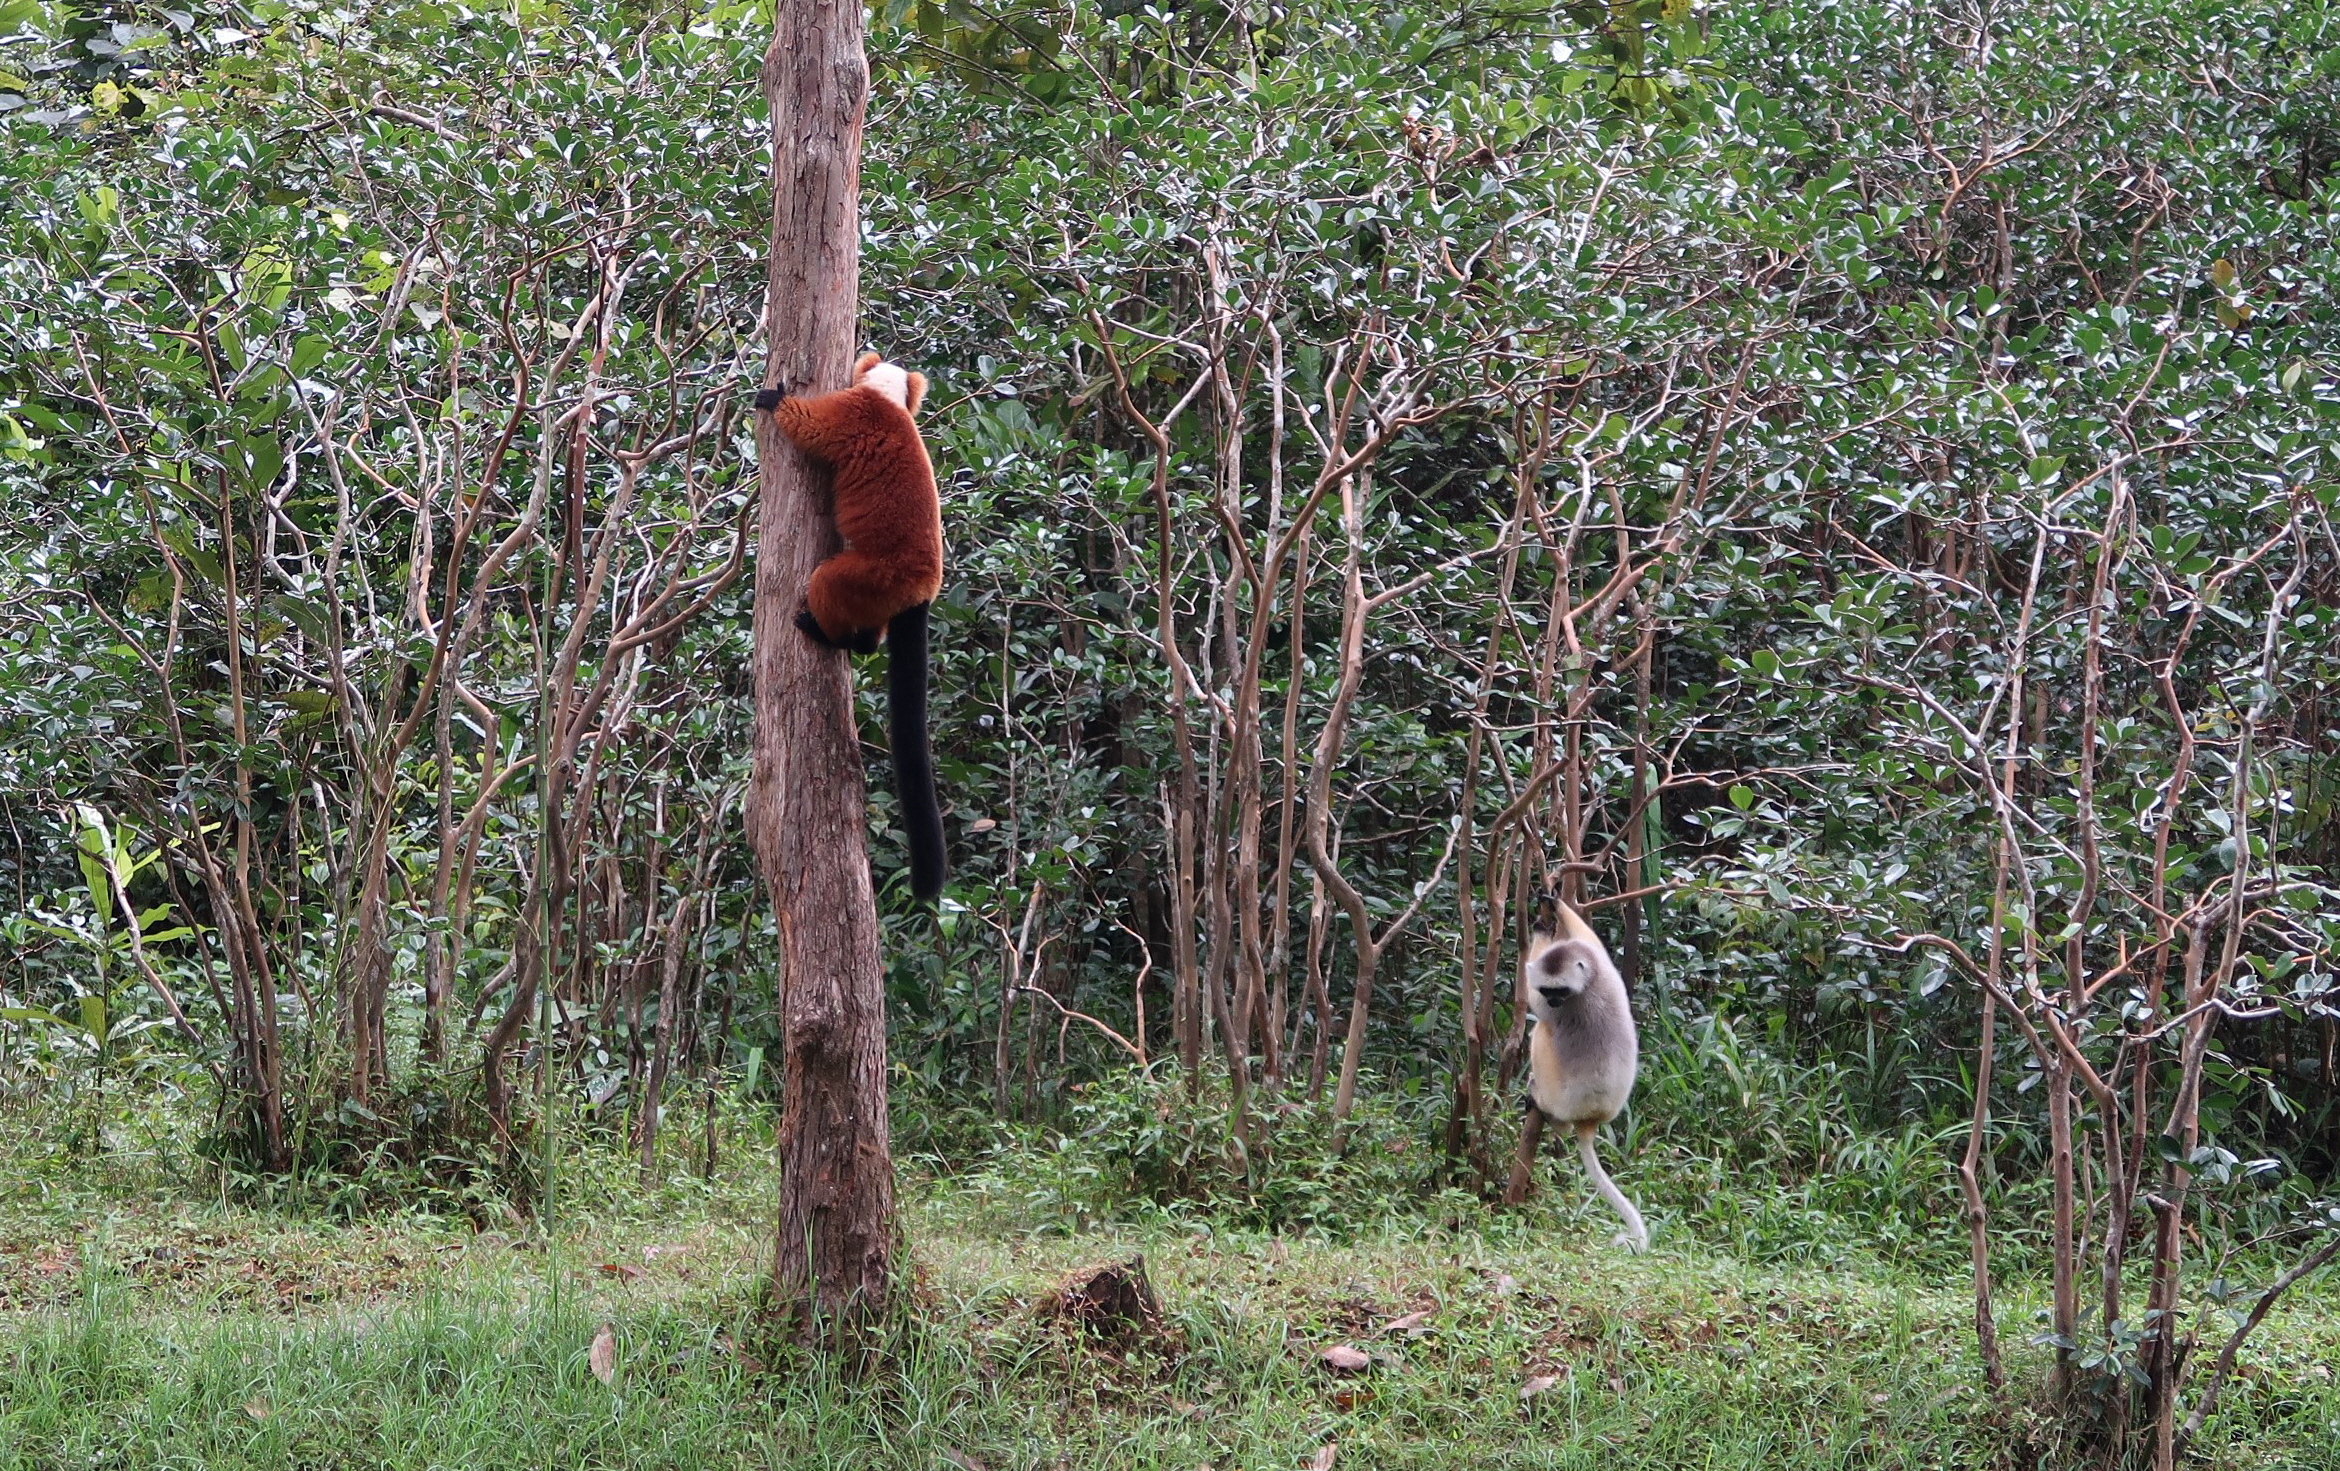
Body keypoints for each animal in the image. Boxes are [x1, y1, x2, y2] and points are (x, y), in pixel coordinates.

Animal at [755, 352, 946, 901]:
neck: (887, 400)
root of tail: (920, 592)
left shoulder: (853, 413)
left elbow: (813, 427)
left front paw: (774, 400)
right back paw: (859, 640)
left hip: (873, 576)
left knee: (828, 581)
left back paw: (830, 634)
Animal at [1522, 895, 1647, 1252]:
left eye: (1560, 992)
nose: (1553, 999)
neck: (1590, 979)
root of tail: (1590, 1119)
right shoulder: (1602, 963)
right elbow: (1591, 939)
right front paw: (1556, 907)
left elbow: (1531, 1001)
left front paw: (1541, 931)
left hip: (1560, 1094)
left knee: (1541, 1034)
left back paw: (1544, 1106)